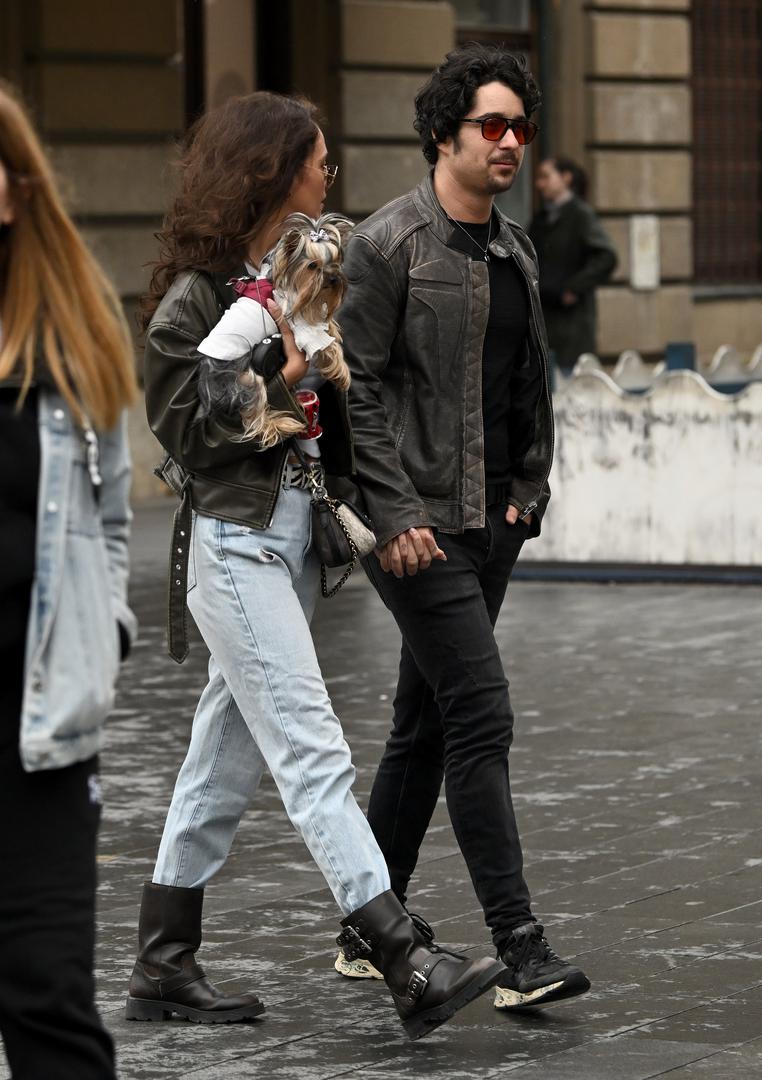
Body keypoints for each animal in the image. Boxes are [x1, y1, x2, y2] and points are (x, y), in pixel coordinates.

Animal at [197, 213, 353, 449]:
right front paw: (341, 372)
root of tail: (206, 383)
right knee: (253, 418)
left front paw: (333, 328)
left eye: (334, 262)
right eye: (313, 266)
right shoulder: (296, 320)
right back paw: (282, 425)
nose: (334, 279)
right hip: (247, 379)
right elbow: (323, 343)